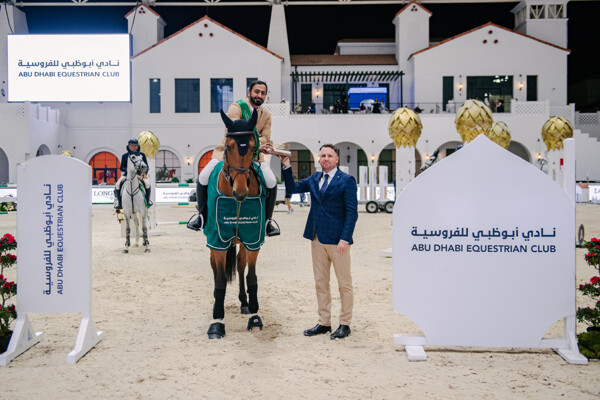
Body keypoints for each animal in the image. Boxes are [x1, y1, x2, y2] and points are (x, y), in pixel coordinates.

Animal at [205, 110, 264, 340]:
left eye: (252, 145)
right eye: (229, 146)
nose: (240, 193)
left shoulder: (254, 240)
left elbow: (252, 276)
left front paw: (255, 316)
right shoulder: (217, 241)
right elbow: (220, 279)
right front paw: (217, 322)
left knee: (240, 265)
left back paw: (244, 303)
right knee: (215, 269)